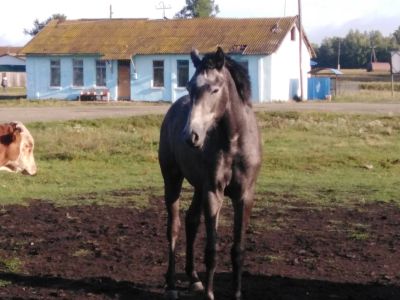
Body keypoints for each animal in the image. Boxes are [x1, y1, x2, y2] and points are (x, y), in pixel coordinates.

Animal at [159, 47, 262, 300]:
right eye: (189, 87)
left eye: (215, 89)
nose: (191, 135)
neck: (234, 142)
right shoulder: (213, 192)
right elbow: (212, 250)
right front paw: (209, 294)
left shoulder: (245, 195)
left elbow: (238, 249)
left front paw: (236, 294)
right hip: (173, 180)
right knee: (173, 227)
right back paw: (172, 284)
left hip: (198, 187)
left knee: (191, 221)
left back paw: (194, 279)